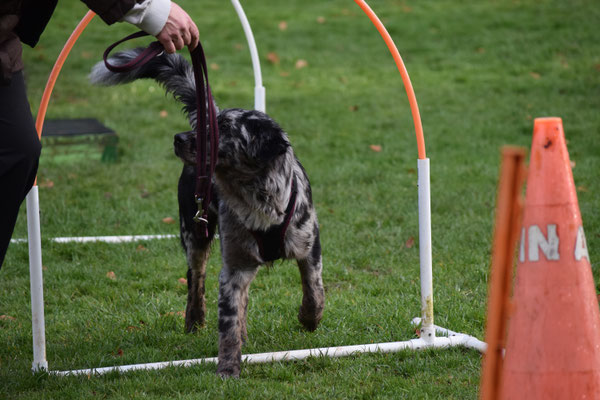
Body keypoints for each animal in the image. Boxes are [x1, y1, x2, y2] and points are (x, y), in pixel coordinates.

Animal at [90, 48, 324, 376]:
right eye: (209, 125)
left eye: (224, 129)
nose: (178, 138)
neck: (259, 202)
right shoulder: (233, 268)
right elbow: (228, 321)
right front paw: (228, 368)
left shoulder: (309, 248)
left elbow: (314, 291)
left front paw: (308, 319)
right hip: (194, 233)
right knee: (195, 279)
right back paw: (195, 319)